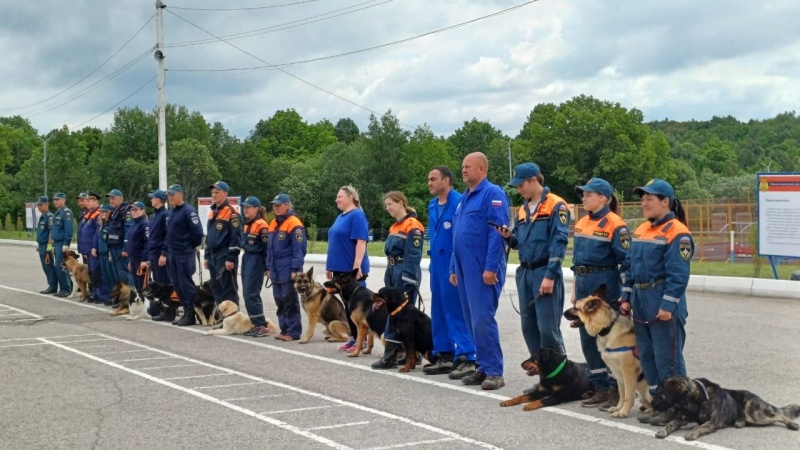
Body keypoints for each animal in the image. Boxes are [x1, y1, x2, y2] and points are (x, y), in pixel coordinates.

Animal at [564, 284, 648, 418]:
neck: (608, 327)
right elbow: (622, 394)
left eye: (576, 308)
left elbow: (628, 396)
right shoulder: (618, 372)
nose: (563, 313)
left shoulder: (628, 372)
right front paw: (618, 408)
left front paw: (623, 412)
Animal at [652, 376, 800, 440]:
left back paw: (792, 424)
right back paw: (739, 422)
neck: (693, 397)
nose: (652, 404)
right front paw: (662, 431)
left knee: (780, 415)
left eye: (661, 395)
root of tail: (757, 397)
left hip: (753, 412)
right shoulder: (681, 418)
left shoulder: (713, 421)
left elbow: (698, 427)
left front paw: (692, 433)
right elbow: (670, 423)